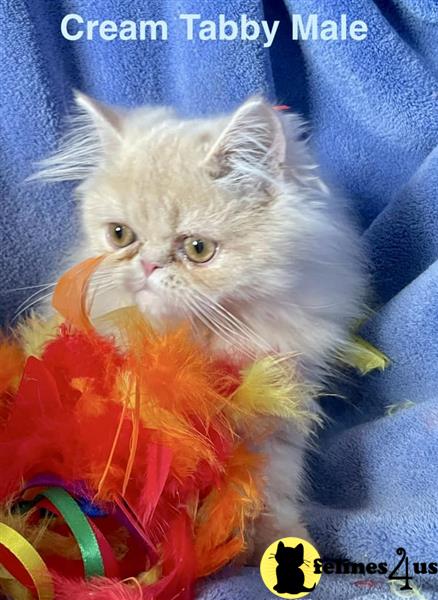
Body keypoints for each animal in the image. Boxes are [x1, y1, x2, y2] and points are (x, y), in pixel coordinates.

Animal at [32, 91, 364, 560]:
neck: (200, 338)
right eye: (120, 235)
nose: (148, 266)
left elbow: (271, 488)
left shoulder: (280, 411)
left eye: (198, 248)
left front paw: (276, 538)